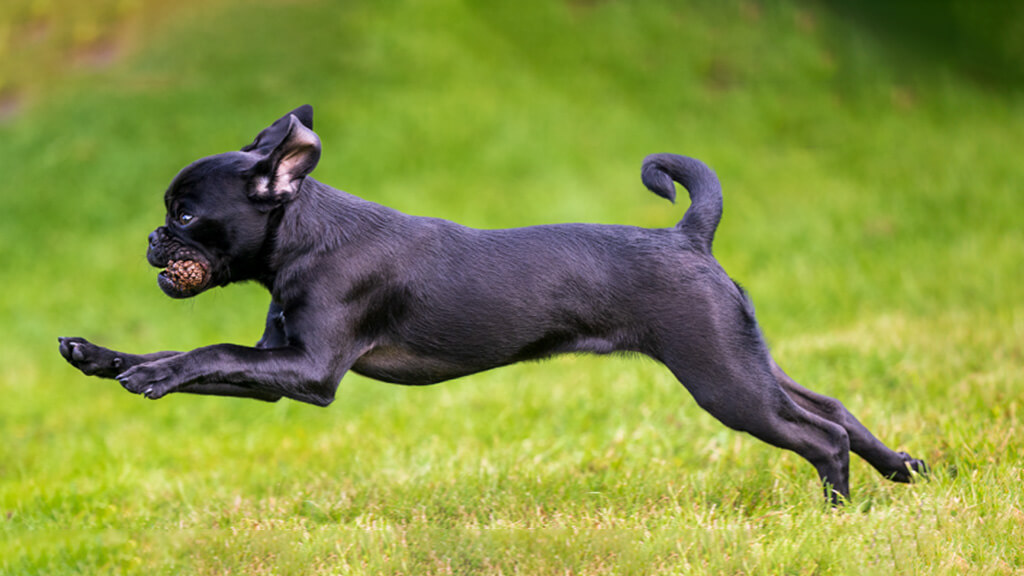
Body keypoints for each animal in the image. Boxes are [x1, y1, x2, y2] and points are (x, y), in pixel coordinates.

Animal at [61, 105, 929, 500]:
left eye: (185, 215)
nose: (150, 237)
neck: (306, 233)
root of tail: (688, 235)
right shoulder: (279, 366)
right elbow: (190, 356)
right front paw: (102, 358)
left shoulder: (306, 372)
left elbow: (207, 353)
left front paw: (149, 374)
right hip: (744, 358)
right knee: (833, 407)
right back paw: (899, 470)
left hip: (722, 378)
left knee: (818, 434)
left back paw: (836, 509)